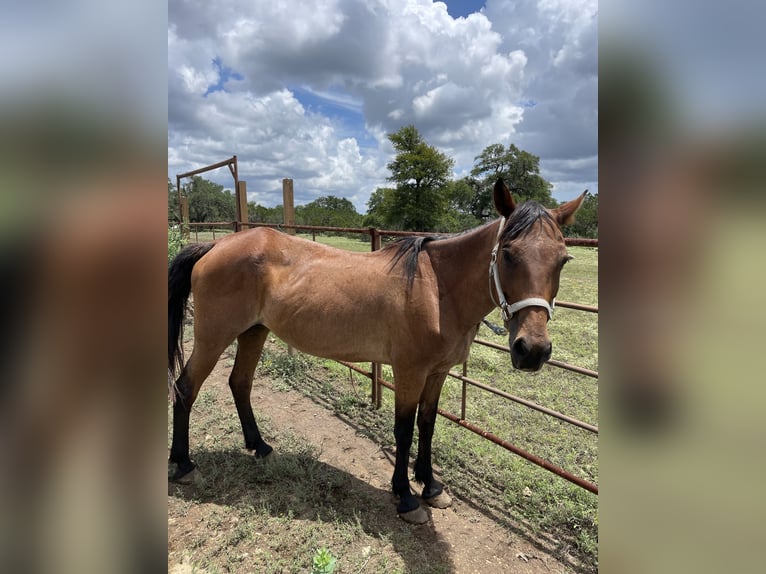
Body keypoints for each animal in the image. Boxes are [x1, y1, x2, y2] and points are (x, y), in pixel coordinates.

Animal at [170, 180, 588, 528]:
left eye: (563, 260)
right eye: (508, 254)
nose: (532, 351)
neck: (437, 289)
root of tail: (215, 245)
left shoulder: (437, 373)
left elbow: (427, 424)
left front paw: (430, 486)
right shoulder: (408, 372)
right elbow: (403, 430)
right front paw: (405, 497)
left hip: (253, 333)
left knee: (239, 383)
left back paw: (260, 447)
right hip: (213, 338)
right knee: (186, 388)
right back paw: (184, 465)